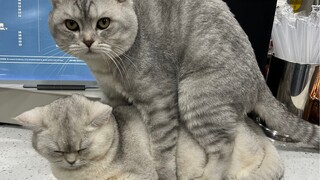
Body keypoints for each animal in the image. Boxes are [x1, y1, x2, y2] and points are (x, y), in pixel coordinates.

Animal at [48, 0, 320, 179]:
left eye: (103, 23)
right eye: (71, 25)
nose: (88, 41)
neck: (106, 67)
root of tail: (259, 78)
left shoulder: (160, 99)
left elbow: (163, 151)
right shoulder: (113, 96)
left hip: (196, 97)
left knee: (224, 148)